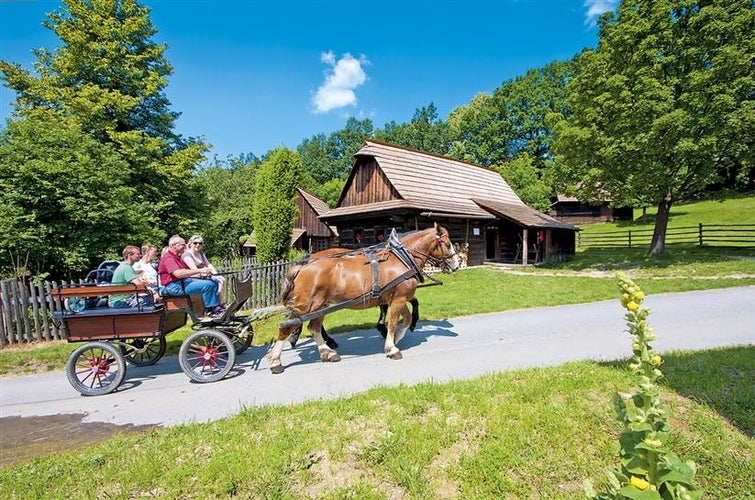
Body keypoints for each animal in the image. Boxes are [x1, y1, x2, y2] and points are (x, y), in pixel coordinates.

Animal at [272, 225, 460, 374]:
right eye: (447, 243)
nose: (456, 265)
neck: (402, 258)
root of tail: (303, 266)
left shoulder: (397, 298)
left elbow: (405, 320)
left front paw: (396, 338)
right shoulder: (399, 299)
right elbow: (394, 322)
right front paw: (392, 347)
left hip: (320, 306)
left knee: (314, 327)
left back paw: (328, 352)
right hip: (305, 306)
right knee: (286, 328)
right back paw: (276, 361)